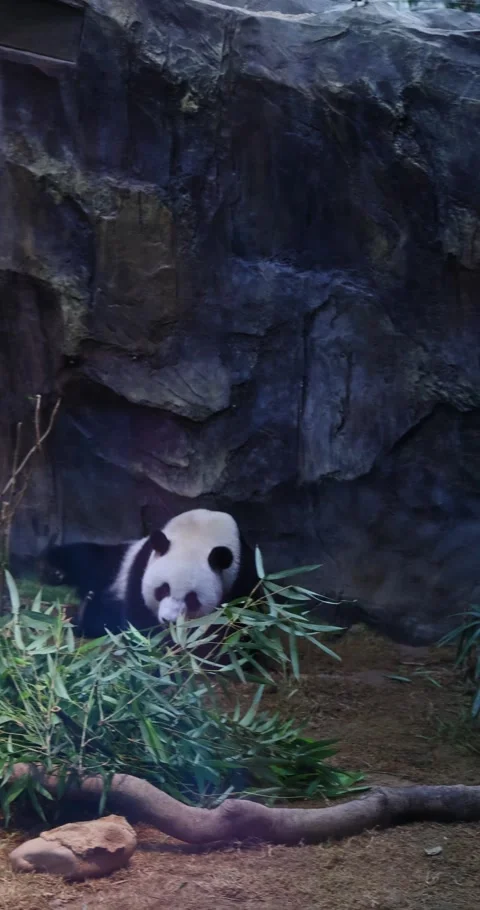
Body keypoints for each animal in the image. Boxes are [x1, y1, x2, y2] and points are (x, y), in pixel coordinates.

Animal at [44, 509, 261, 639]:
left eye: (192, 599)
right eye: (162, 590)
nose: (169, 620)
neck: (200, 533)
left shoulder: (241, 577)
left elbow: (233, 625)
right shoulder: (140, 567)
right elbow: (139, 620)